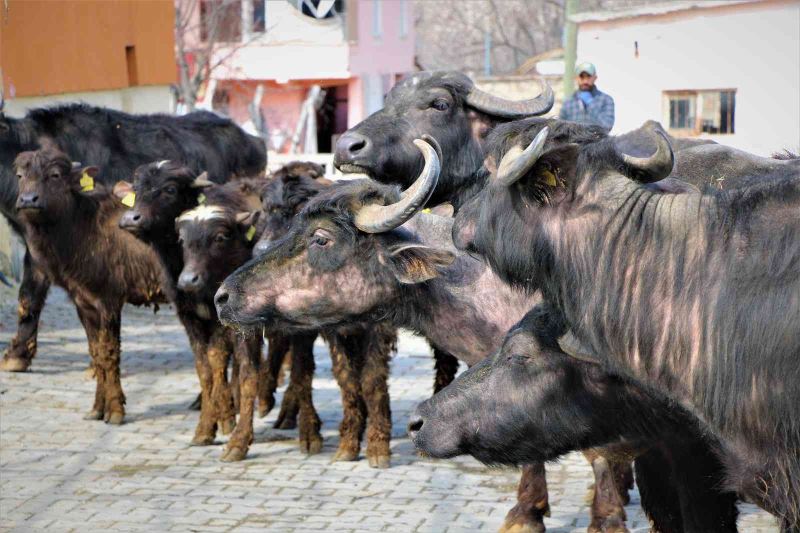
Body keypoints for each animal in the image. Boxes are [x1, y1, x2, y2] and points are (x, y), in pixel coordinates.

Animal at [0, 103, 268, 370]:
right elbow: (28, 296)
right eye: (20, 175)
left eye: (55, 175)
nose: (27, 200)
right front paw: (16, 356)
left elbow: (31, 295)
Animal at [14, 148, 166, 422]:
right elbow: (96, 353)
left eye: (55, 175)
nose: (29, 200)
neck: (83, 230)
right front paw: (97, 408)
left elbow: (109, 353)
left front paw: (115, 410)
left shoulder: (109, 302)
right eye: (20, 175)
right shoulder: (83, 304)